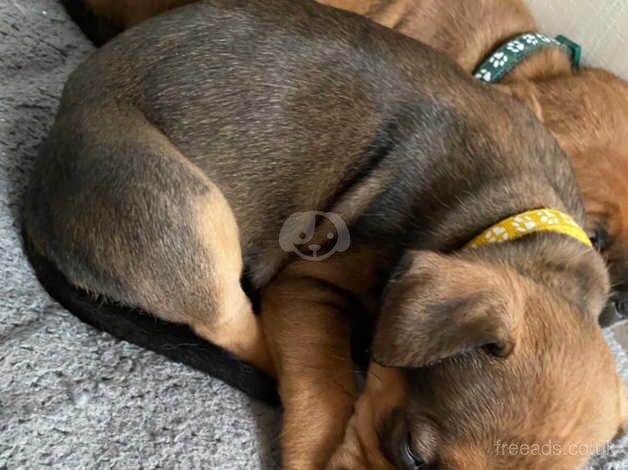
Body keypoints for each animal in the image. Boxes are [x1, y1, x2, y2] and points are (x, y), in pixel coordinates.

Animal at [22, 0, 624, 470]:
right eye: (410, 453)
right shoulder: (311, 286)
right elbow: (321, 390)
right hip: (187, 212)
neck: (505, 216)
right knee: (236, 330)